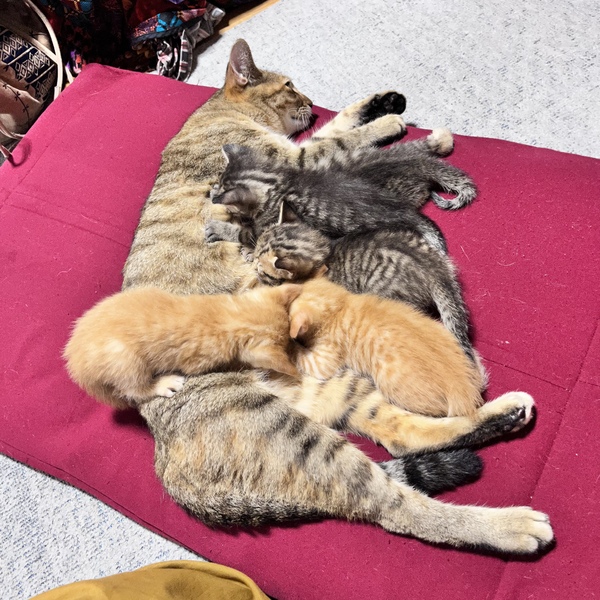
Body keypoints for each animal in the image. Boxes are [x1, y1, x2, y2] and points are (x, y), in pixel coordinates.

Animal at [63, 284, 301, 408]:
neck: (228, 317)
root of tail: (75, 362)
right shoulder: (198, 362)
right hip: (126, 361)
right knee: (133, 390)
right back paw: (164, 384)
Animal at [205, 126, 477, 255]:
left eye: (219, 190)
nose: (211, 193)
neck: (279, 179)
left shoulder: (265, 224)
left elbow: (243, 233)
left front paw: (219, 228)